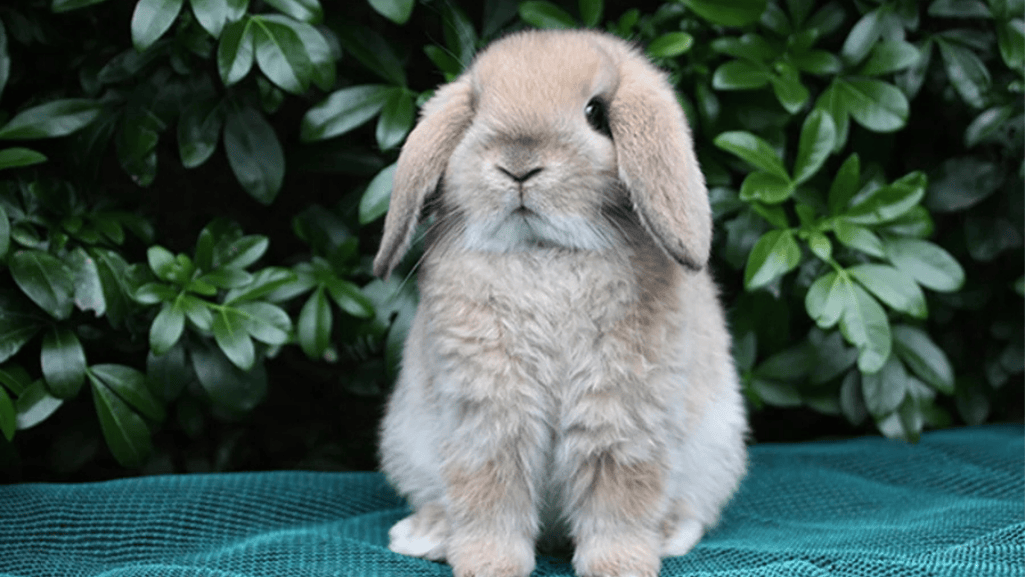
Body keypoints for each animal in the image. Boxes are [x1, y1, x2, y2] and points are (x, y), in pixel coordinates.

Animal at [374, 29, 748, 577]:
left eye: (595, 112)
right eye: (475, 111)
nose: (518, 165)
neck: (543, 253)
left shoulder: (621, 417)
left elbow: (619, 501)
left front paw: (620, 567)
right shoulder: (487, 417)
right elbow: (488, 498)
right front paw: (488, 566)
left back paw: (669, 535)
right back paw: (425, 535)